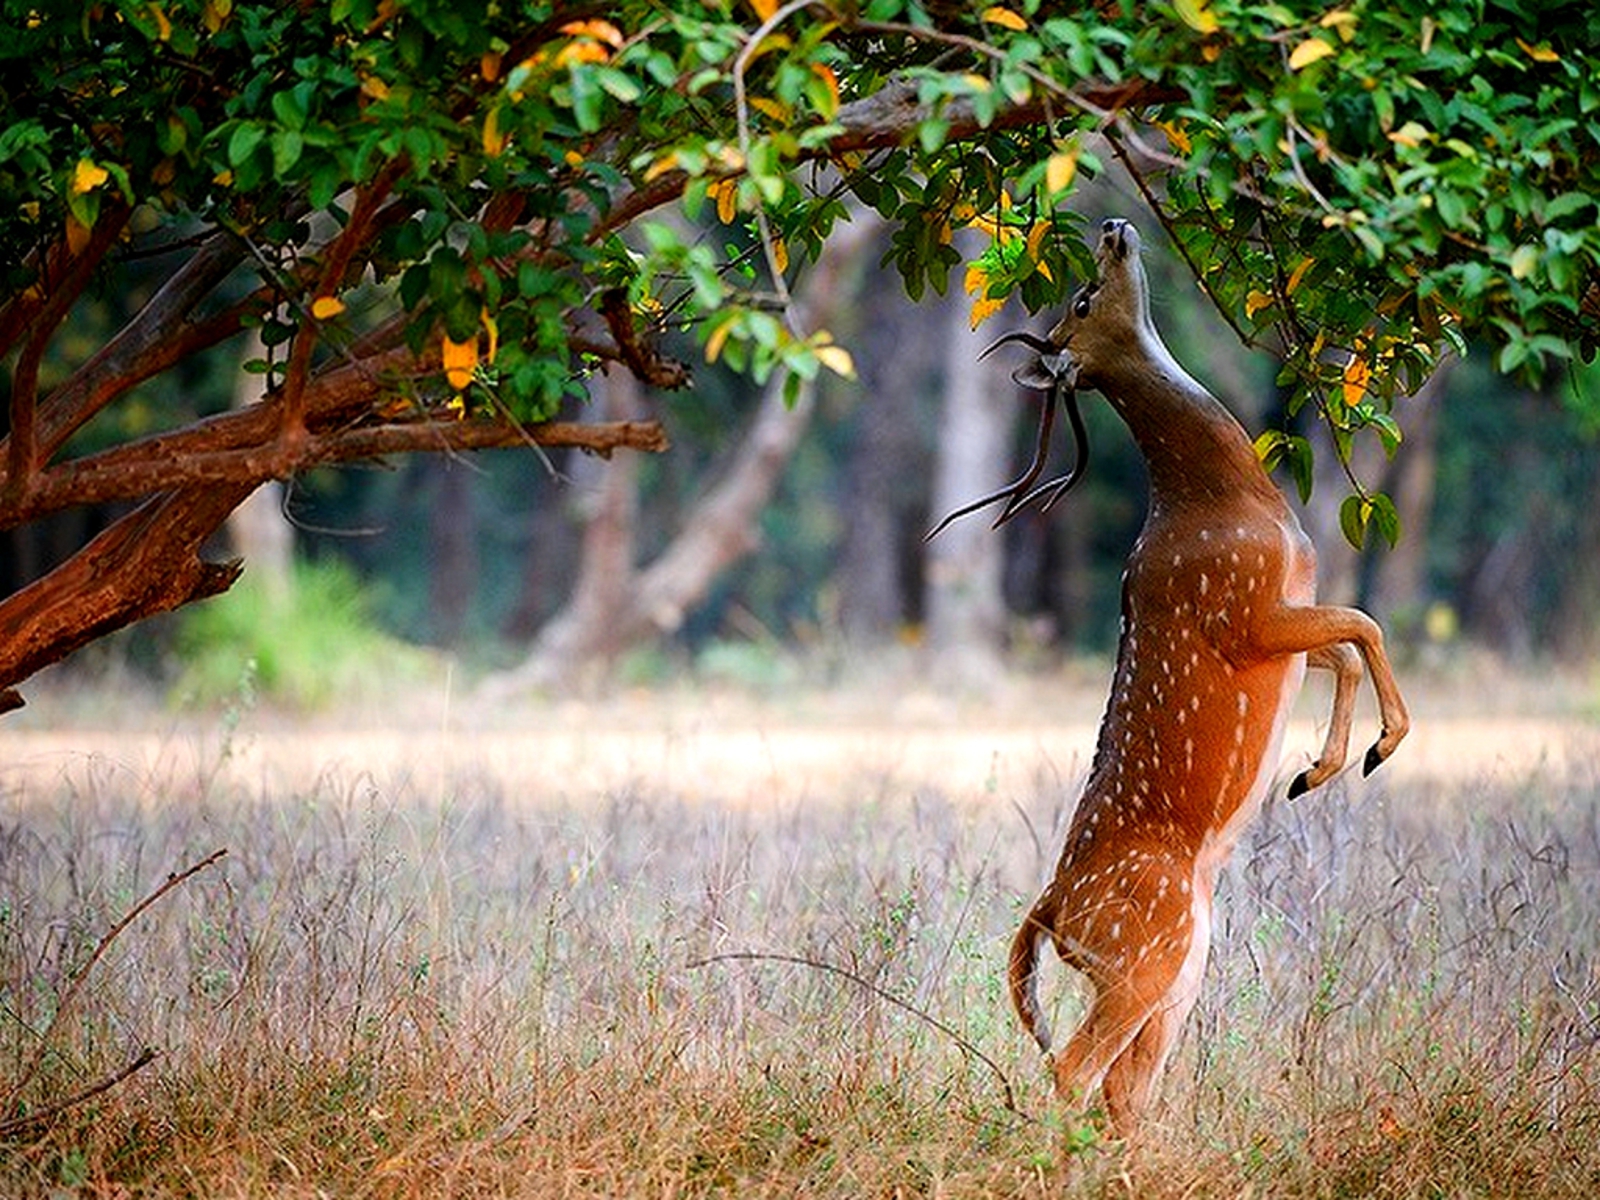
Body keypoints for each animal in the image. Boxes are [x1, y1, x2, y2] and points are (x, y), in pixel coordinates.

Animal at [940, 220, 1408, 1152]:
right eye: (1084, 297)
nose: (1114, 229)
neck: (1230, 502)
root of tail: (1051, 912)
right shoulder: (1244, 610)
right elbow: (1364, 621)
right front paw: (1376, 749)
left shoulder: (1285, 615)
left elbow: (1345, 643)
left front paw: (1317, 769)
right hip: (1141, 948)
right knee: (1071, 1068)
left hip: (1178, 966)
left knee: (1125, 1086)